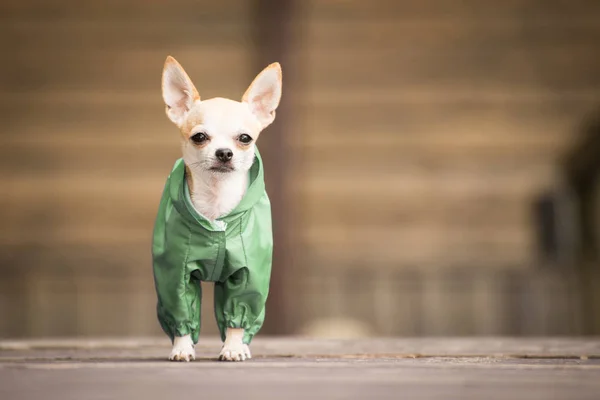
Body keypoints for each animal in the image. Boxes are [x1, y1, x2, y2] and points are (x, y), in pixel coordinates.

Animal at [150, 57, 282, 362]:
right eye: (199, 137)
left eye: (245, 138)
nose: (224, 153)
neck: (216, 206)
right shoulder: (175, 275)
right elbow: (182, 312)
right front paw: (182, 347)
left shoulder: (248, 275)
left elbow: (237, 316)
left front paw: (233, 347)